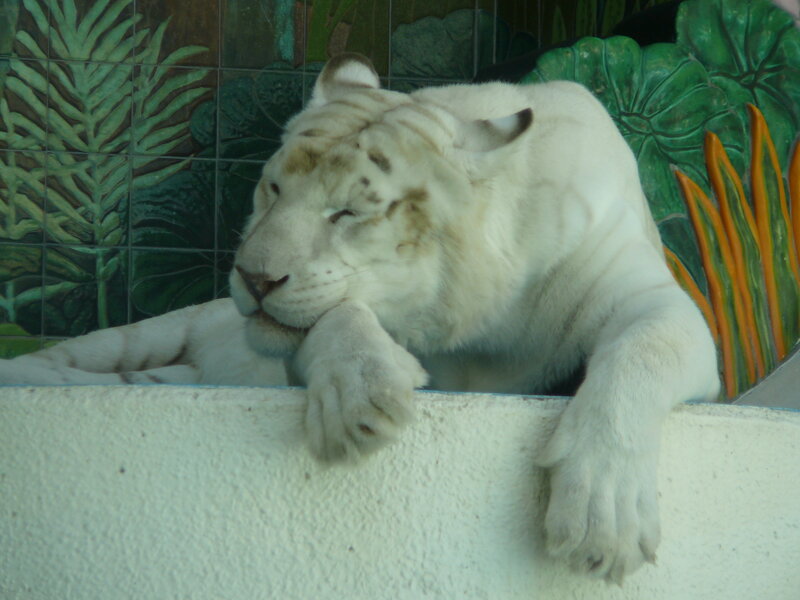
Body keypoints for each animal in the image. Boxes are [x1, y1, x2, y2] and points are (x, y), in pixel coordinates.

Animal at [0, 52, 720, 583]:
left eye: (347, 212)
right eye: (273, 189)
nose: (253, 277)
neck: (479, 321)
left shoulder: (653, 298)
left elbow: (643, 351)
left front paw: (605, 515)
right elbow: (336, 316)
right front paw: (362, 397)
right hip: (142, 334)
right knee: (53, 360)